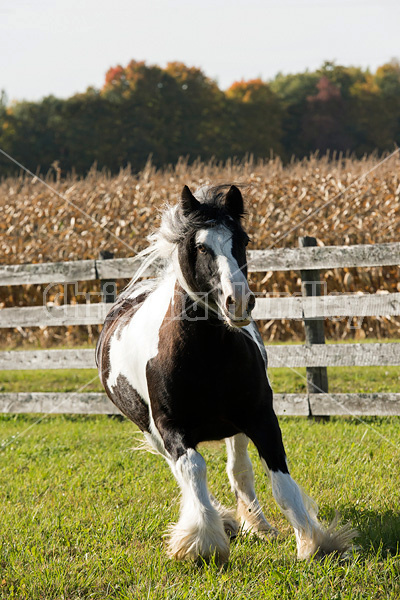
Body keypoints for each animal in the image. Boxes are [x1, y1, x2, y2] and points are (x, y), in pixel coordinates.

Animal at [96, 184, 354, 564]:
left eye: (243, 240)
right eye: (201, 246)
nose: (240, 301)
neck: (206, 357)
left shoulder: (261, 418)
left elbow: (279, 480)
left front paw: (312, 542)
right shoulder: (171, 430)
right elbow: (193, 470)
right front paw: (203, 542)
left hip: (236, 427)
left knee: (239, 470)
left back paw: (256, 524)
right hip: (152, 432)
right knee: (185, 472)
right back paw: (225, 521)